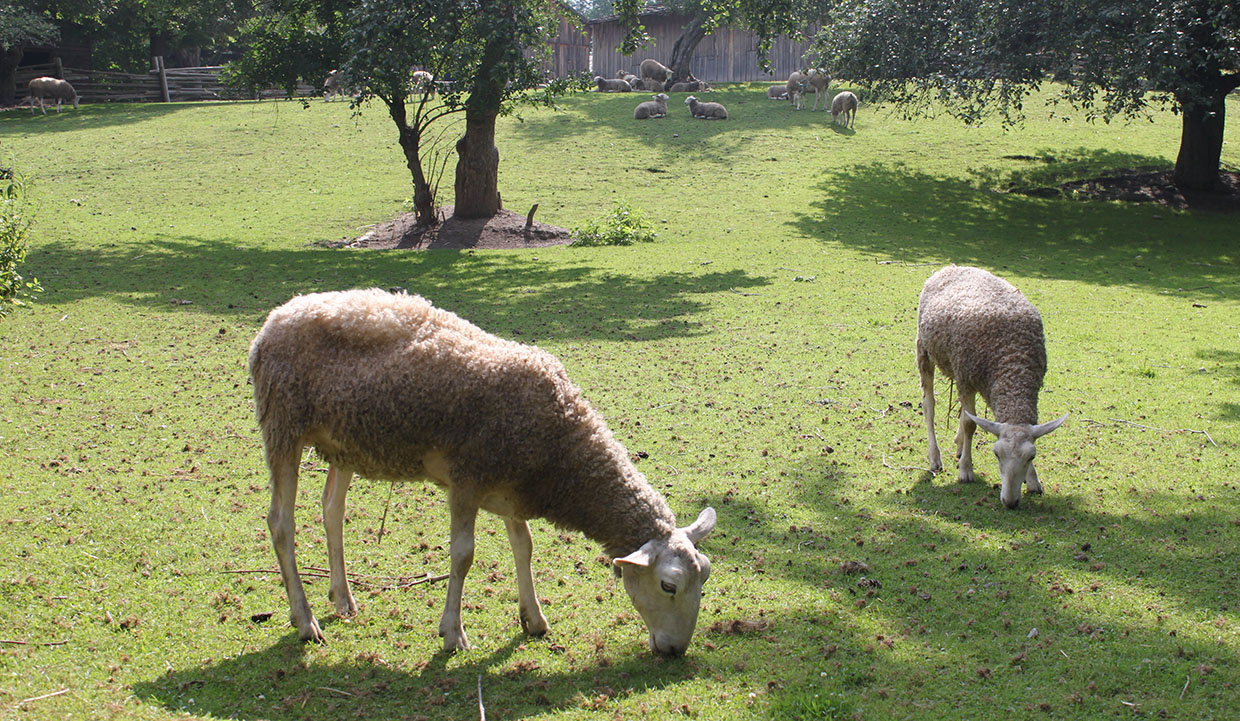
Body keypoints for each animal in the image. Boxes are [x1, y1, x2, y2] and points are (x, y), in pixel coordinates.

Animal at [249, 289, 719, 655]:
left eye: (706, 575)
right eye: (669, 586)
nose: (676, 651)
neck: (562, 447)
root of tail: (276, 317)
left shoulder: (512, 488)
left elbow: (524, 546)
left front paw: (534, 619)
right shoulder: (466, 478)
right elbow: (462, 555)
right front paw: (452, 633)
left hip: (344, 444)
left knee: (331, 511)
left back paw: (343, 599)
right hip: (282, 424)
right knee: (280, 523)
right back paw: (305, 620)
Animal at [917, 266, 1071, 508]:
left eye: (1032, 456)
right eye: (996, 454)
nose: (1010, 502)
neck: (1013, 365)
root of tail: (952, 267)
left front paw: (1033, 480)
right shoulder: (965, 379)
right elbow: (970, 424)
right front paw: (966, 471)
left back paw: (959, 445)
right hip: (925, 350)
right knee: (929, 405)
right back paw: (936, 458)